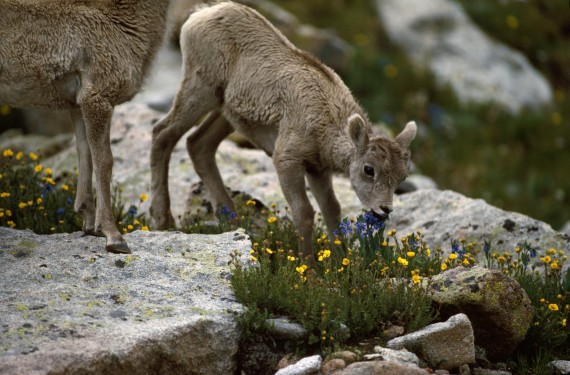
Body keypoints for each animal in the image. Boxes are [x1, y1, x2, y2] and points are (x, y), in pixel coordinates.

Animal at [0, 0, 169, 254]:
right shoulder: (97, 98)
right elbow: (105, 161)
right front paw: (114, 238)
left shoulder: (78, 105)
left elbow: (85, 154)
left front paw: (89, 226)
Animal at [150, 2, 418, 262]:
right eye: (368, 169)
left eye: (402, 176)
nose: (384, 210)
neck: (325, 118)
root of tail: (201, 14)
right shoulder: (287, 160)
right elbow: (304, 212)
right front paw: (309, 269)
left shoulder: (318, 170)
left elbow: (332, 209)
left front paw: (340, 261)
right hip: (200, 90)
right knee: (163, 134)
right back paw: (163, 219)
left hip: (226, 114)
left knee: (198, 145)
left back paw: (234, 222)